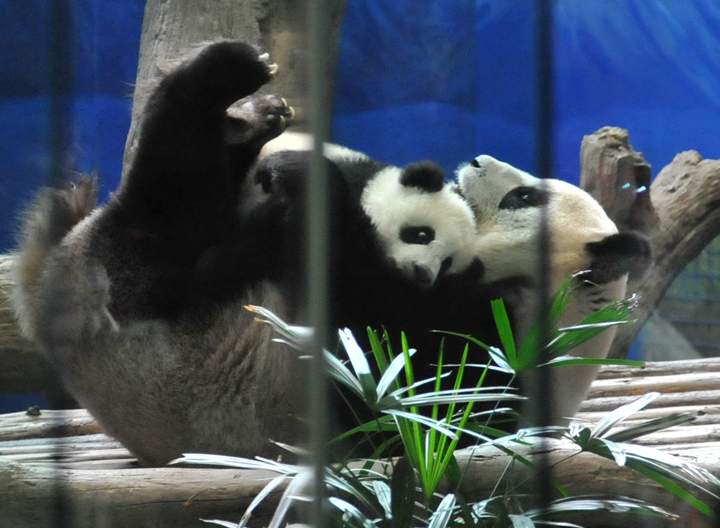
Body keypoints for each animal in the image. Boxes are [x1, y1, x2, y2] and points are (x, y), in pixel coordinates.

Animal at [12, 41, 481, 465]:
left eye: (447, 261)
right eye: (420, 234)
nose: (423, 274)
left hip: (149, 319)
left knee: (168, 200)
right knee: (177, 185)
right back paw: (239, 93)